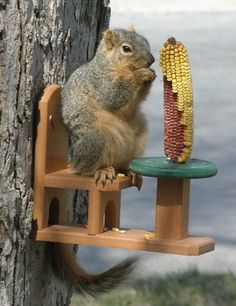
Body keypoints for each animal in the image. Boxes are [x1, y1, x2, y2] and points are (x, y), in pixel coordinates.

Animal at [58, 26, 155, 296]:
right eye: (126, 48)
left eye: (146, 41)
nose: (152, 60)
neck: (109, 64)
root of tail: (73, 160)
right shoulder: (100, 82)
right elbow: (115, 93)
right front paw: (143, 74)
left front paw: (152, 75)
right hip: (97, 136)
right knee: (86, 169)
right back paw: (102, 171)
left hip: (139, 132)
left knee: (125, 163)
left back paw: (131, 172)